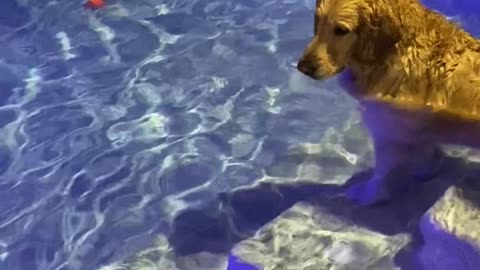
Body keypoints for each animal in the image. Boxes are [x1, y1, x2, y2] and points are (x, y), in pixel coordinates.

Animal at [296, 0, 480, 205]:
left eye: (341, 30)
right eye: (317, 20)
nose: (303, 67)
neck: (393, 49)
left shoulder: (387, 132)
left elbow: (381, 176)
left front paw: (365, 195)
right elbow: (425, 156)